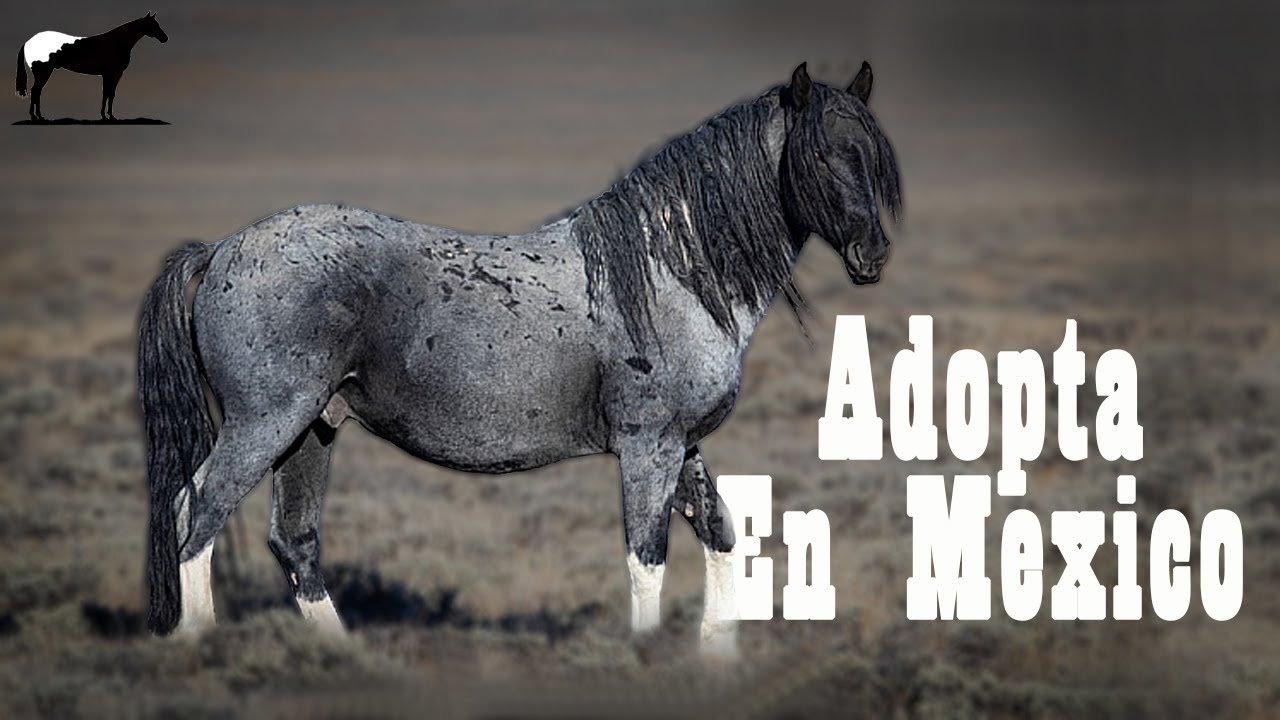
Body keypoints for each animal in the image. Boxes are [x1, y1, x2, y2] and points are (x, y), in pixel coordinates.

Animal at [15, 12, 167, 121]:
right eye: (154, 25)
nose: (165, 38)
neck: (118, 42)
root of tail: (29, 42)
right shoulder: (114, 73)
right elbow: (110, 93)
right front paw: (109, 116)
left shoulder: (107, 74)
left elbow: (107, 93)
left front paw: (105, 115)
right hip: (44, 72)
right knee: (36, 91)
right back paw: (36, 116)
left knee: (37, 91)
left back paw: (38, 116)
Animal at [137, 61, 901, 656]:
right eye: (823, 154)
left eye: (872, 154)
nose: (873, 254)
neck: (670, 270)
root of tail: (220, 249)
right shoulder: (648, 446)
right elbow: (646, 559)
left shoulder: (684, 446)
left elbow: (721, 539)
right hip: (266, 423)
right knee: (195, 514)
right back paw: (198, 644)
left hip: (310, 431)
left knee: (292, 540)